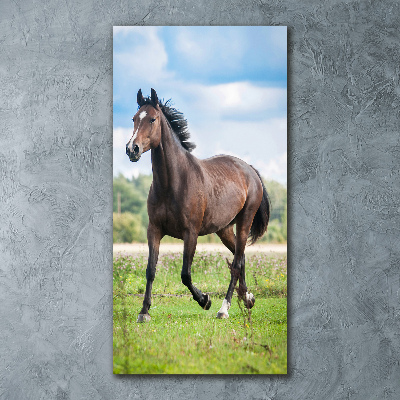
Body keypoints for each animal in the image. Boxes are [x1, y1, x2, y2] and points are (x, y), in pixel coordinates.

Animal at [126, 88, 268, 322]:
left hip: (244, 223)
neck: (173, 182)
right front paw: (144, 312)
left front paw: (205, 300)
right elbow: (150, 270)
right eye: (134, 119)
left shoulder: (190, 233)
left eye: (153, 119)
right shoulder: (154, 230)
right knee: (241, 258)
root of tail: (249, 169)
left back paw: (224, 308)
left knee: (236, 263)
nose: (132, 149)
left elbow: (185, 273)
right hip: (224, 229)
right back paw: (248, 298)